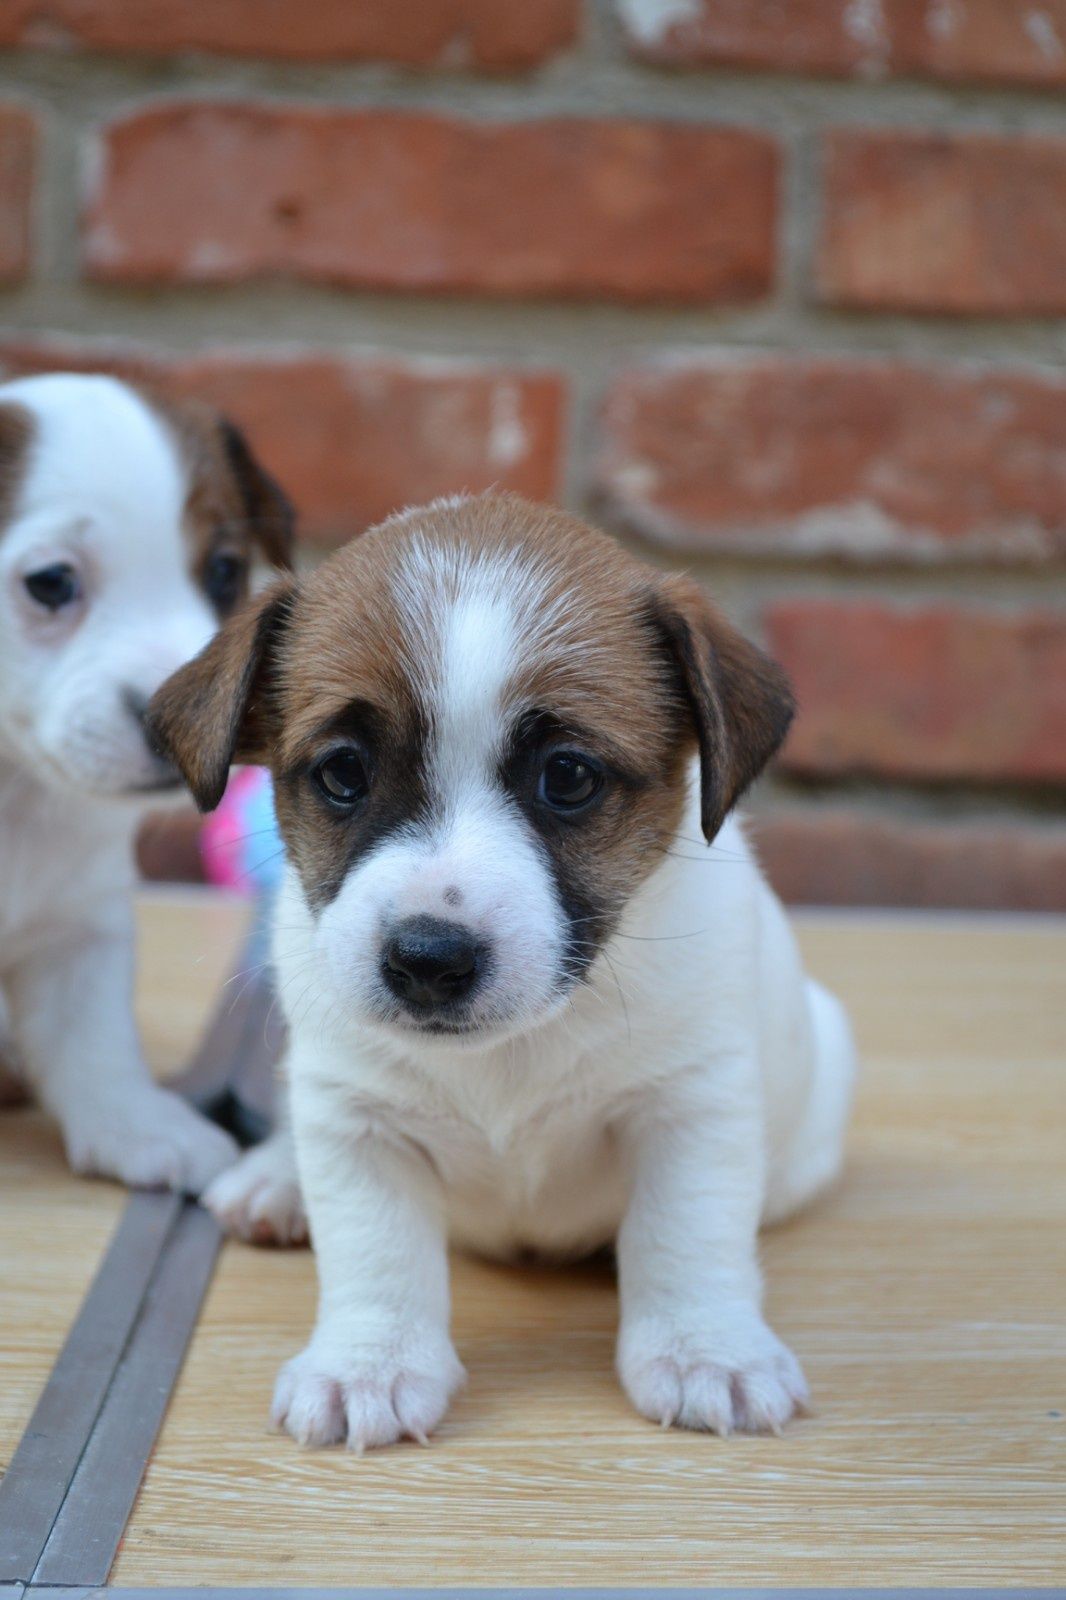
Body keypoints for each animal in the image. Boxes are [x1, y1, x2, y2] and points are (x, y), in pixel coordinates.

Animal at [0, 371, 291, 1190]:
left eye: (223, 571)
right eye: (50, 583)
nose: (173, 721)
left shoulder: (81, 923)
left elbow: (92, 1038)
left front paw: (136, 1124)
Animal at [151, 492, 857, 1446]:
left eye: (568, 777)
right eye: (343, 773)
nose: (428, 958)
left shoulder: (691, 1109)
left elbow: (687, 1236)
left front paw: (706, 1349)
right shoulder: (356, 1121)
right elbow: (375, 1250)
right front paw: (369, 1364)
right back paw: (275, 1178)